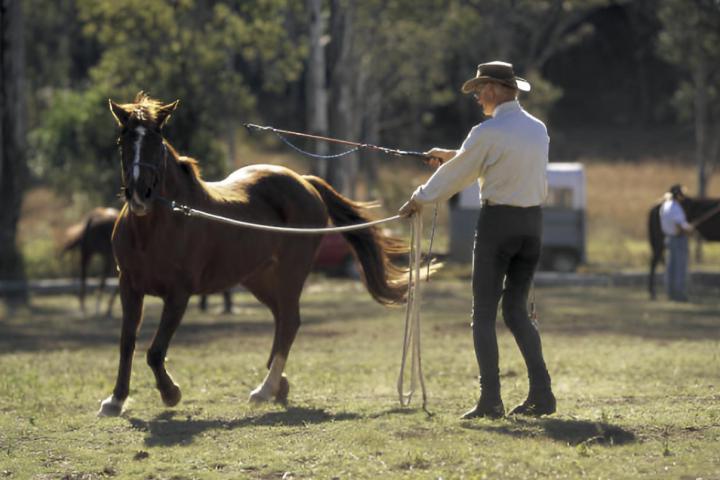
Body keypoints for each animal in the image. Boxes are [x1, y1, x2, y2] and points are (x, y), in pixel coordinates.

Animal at [98, 93, 409, 416]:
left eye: (156, 140)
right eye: (122, 141)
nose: (139, 194)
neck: (154, 229)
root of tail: (304, 180)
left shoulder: (178, 293)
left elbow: (156, 351)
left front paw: (170, 393)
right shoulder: (129, 286)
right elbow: (127, 343)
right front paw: (116, 400)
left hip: (291, 273)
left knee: (290, 321)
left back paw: (266, 388)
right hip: (259, 279)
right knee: (281, 319)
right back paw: (278, 384)